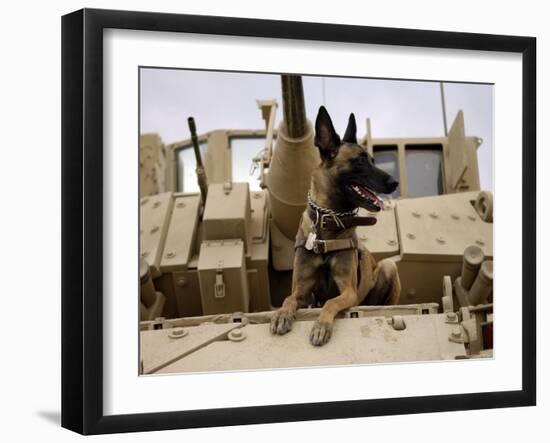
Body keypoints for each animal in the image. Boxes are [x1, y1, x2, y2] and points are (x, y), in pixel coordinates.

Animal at [272, 106, 406, 346]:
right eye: (360, 161)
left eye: (373, 160)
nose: (394, 182)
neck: (327, 222)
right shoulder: (301, 290)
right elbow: (288, 298)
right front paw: (282, 314)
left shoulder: (348, 291)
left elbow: (330, 302)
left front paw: (321, 326)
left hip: (388, 267)